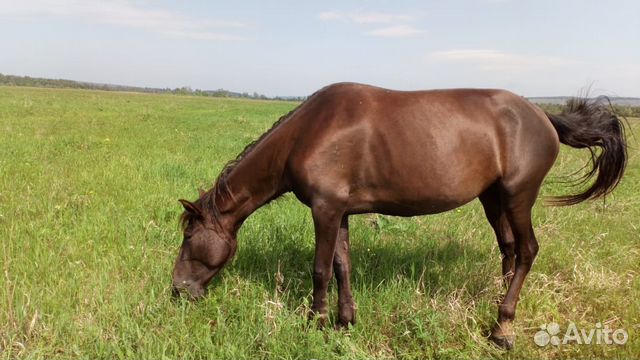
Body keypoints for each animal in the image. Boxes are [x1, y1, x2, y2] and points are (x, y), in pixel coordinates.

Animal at [172, 83, 628, 348]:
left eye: (188, 238)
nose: (178, 291)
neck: (307, 133)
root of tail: (542, 115)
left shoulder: (324, 209)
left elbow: (320, 268)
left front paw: (316, 321)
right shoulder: (339, 211)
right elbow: (342, 265)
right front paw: (345, 321)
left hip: (519, 196)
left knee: (528, 250)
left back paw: (502, 328)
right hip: (493, 198)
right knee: (511, 250)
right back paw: (497, 308)